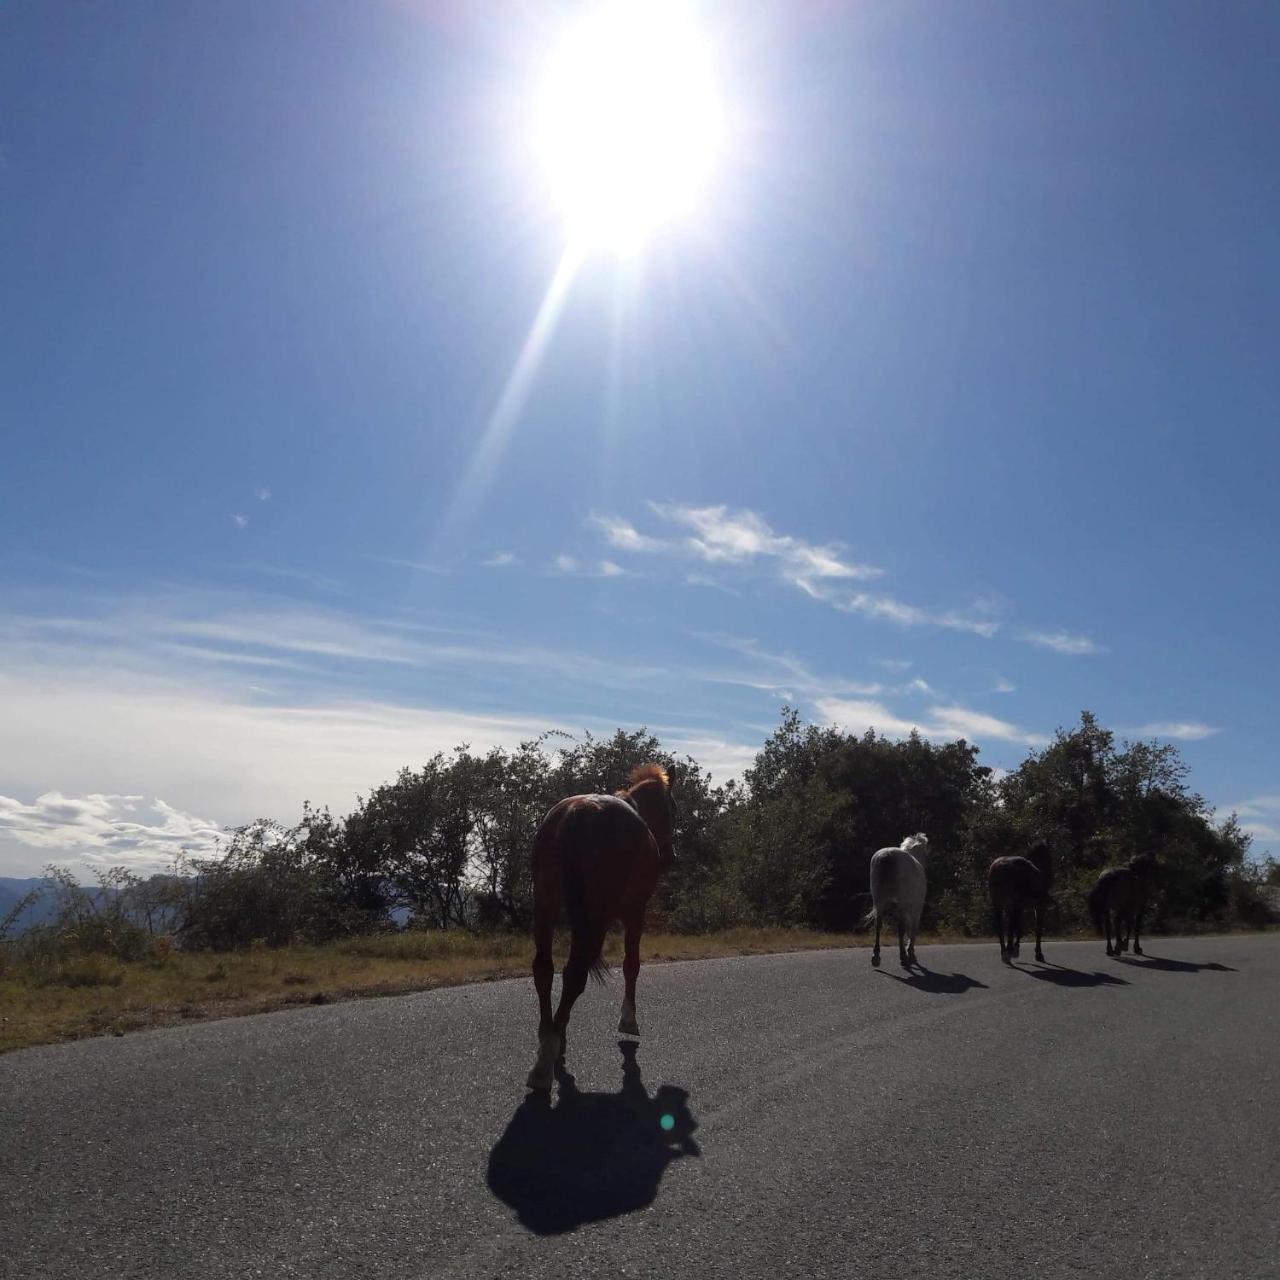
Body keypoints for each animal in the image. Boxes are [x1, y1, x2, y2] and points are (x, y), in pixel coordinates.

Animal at [524, 757, 680, 1090]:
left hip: (546, 903)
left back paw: (549, 1040)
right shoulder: (635, 910)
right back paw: (547, 1058)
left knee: (544, 969)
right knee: (574, 975)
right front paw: (629, 1020)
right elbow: (631, 964)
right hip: (597, 911)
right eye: (673, 808)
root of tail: (577, 814)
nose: (670, 856)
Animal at [865, 834, 926, 962]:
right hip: (903, 904)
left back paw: (876, 955)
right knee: (901, 927)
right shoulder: (916, 908)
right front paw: (910, 952)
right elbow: (912, 928)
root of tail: (887, 856)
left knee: (878, 924)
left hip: (879, 901)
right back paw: (903, 955)